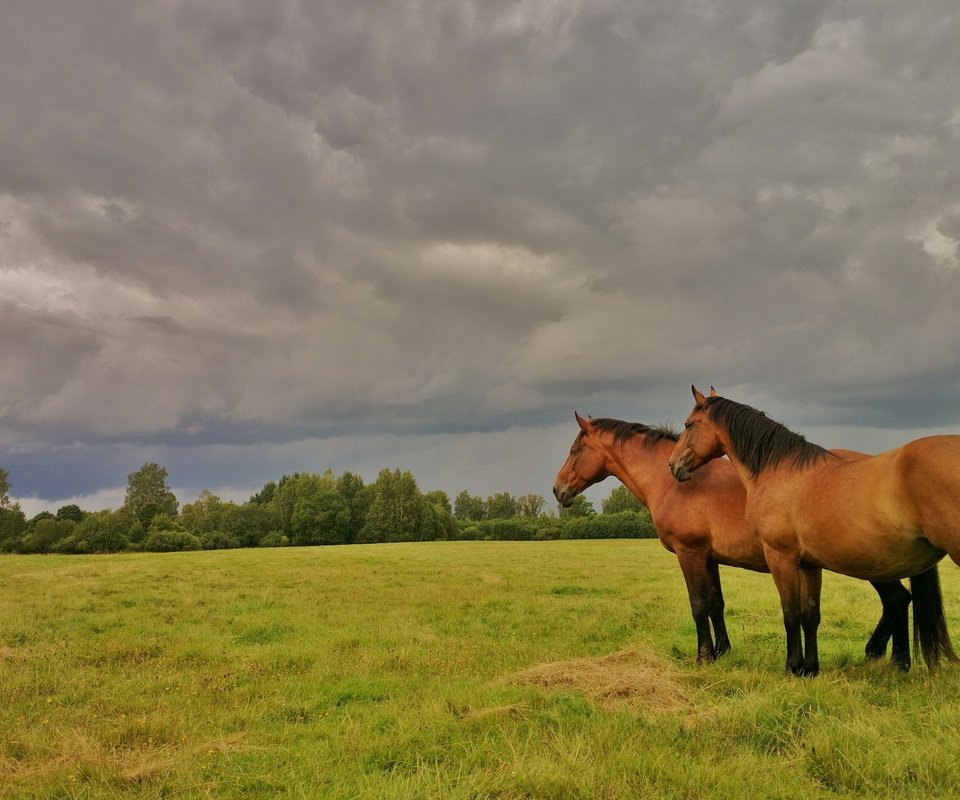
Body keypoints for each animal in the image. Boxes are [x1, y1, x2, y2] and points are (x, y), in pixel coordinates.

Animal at [552, 412, 912, 668]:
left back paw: (891, 658)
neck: (674, 483)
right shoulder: (709, 558)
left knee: (897, 599)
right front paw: (722, 651)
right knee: (898, 599)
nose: (557, 489)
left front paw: (703, 657)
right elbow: (716, 603)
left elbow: (698, 604)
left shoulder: (690, 553)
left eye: (575, 450)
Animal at [668, 388, 960, 676]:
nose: (672, 465)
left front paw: (791, 667)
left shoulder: (781, 558)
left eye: (688, 424)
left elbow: (790, 613)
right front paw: (809, 668)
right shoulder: (809, 564)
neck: (780, 473)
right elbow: (810, 615)